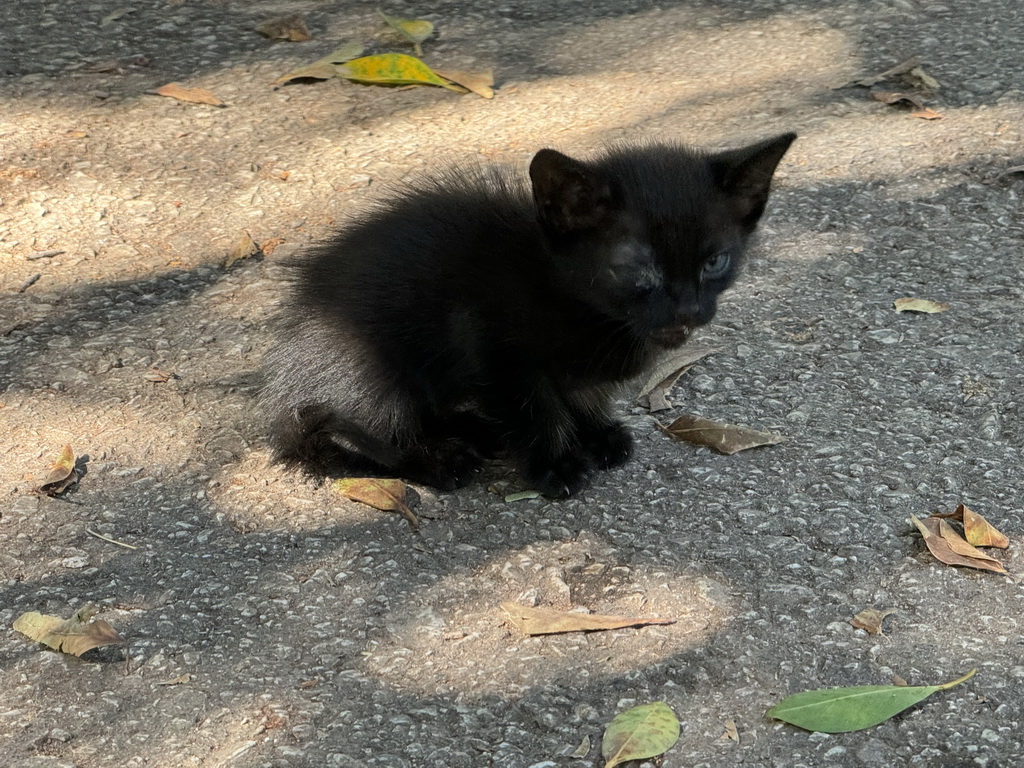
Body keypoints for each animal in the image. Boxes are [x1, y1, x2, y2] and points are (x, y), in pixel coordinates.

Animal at [260, 134, 794, 499]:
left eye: (715, 262)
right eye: (638, 270)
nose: (688, 309)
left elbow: (577, 393)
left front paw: (596, 431)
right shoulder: (490, 343)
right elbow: (535, 408)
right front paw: (555, 464)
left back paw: (476, 431)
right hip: (368, 366)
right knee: (344, 429)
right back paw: (440, 459)